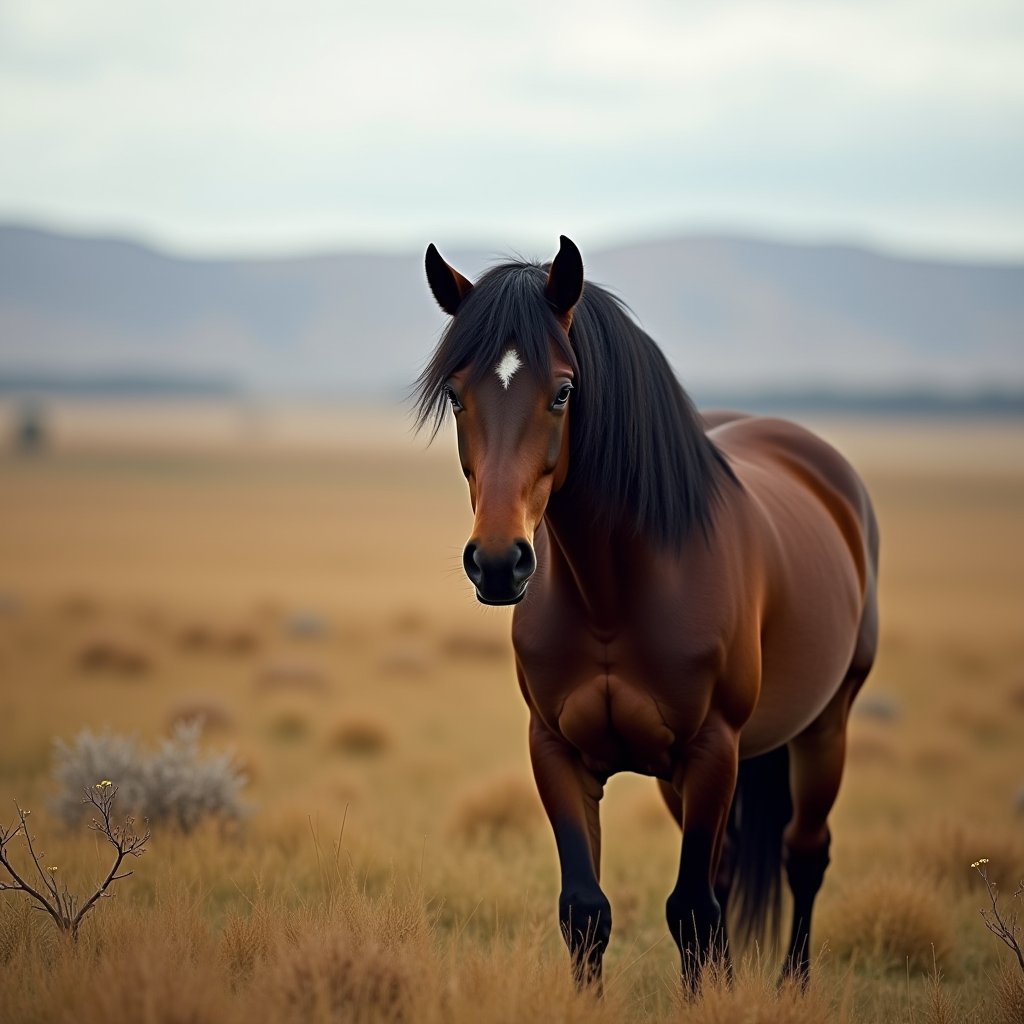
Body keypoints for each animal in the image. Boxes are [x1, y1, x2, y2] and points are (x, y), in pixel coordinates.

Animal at [416, 236, 879, 991]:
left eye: (563, 391)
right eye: (456, 394)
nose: (498, 562)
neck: (612, 595)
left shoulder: (712, 750)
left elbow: (690, 909)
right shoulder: (558, 751)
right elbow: (587, 910)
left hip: (824, 727)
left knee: (804, 854)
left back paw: (794, 983)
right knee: (727, 871)